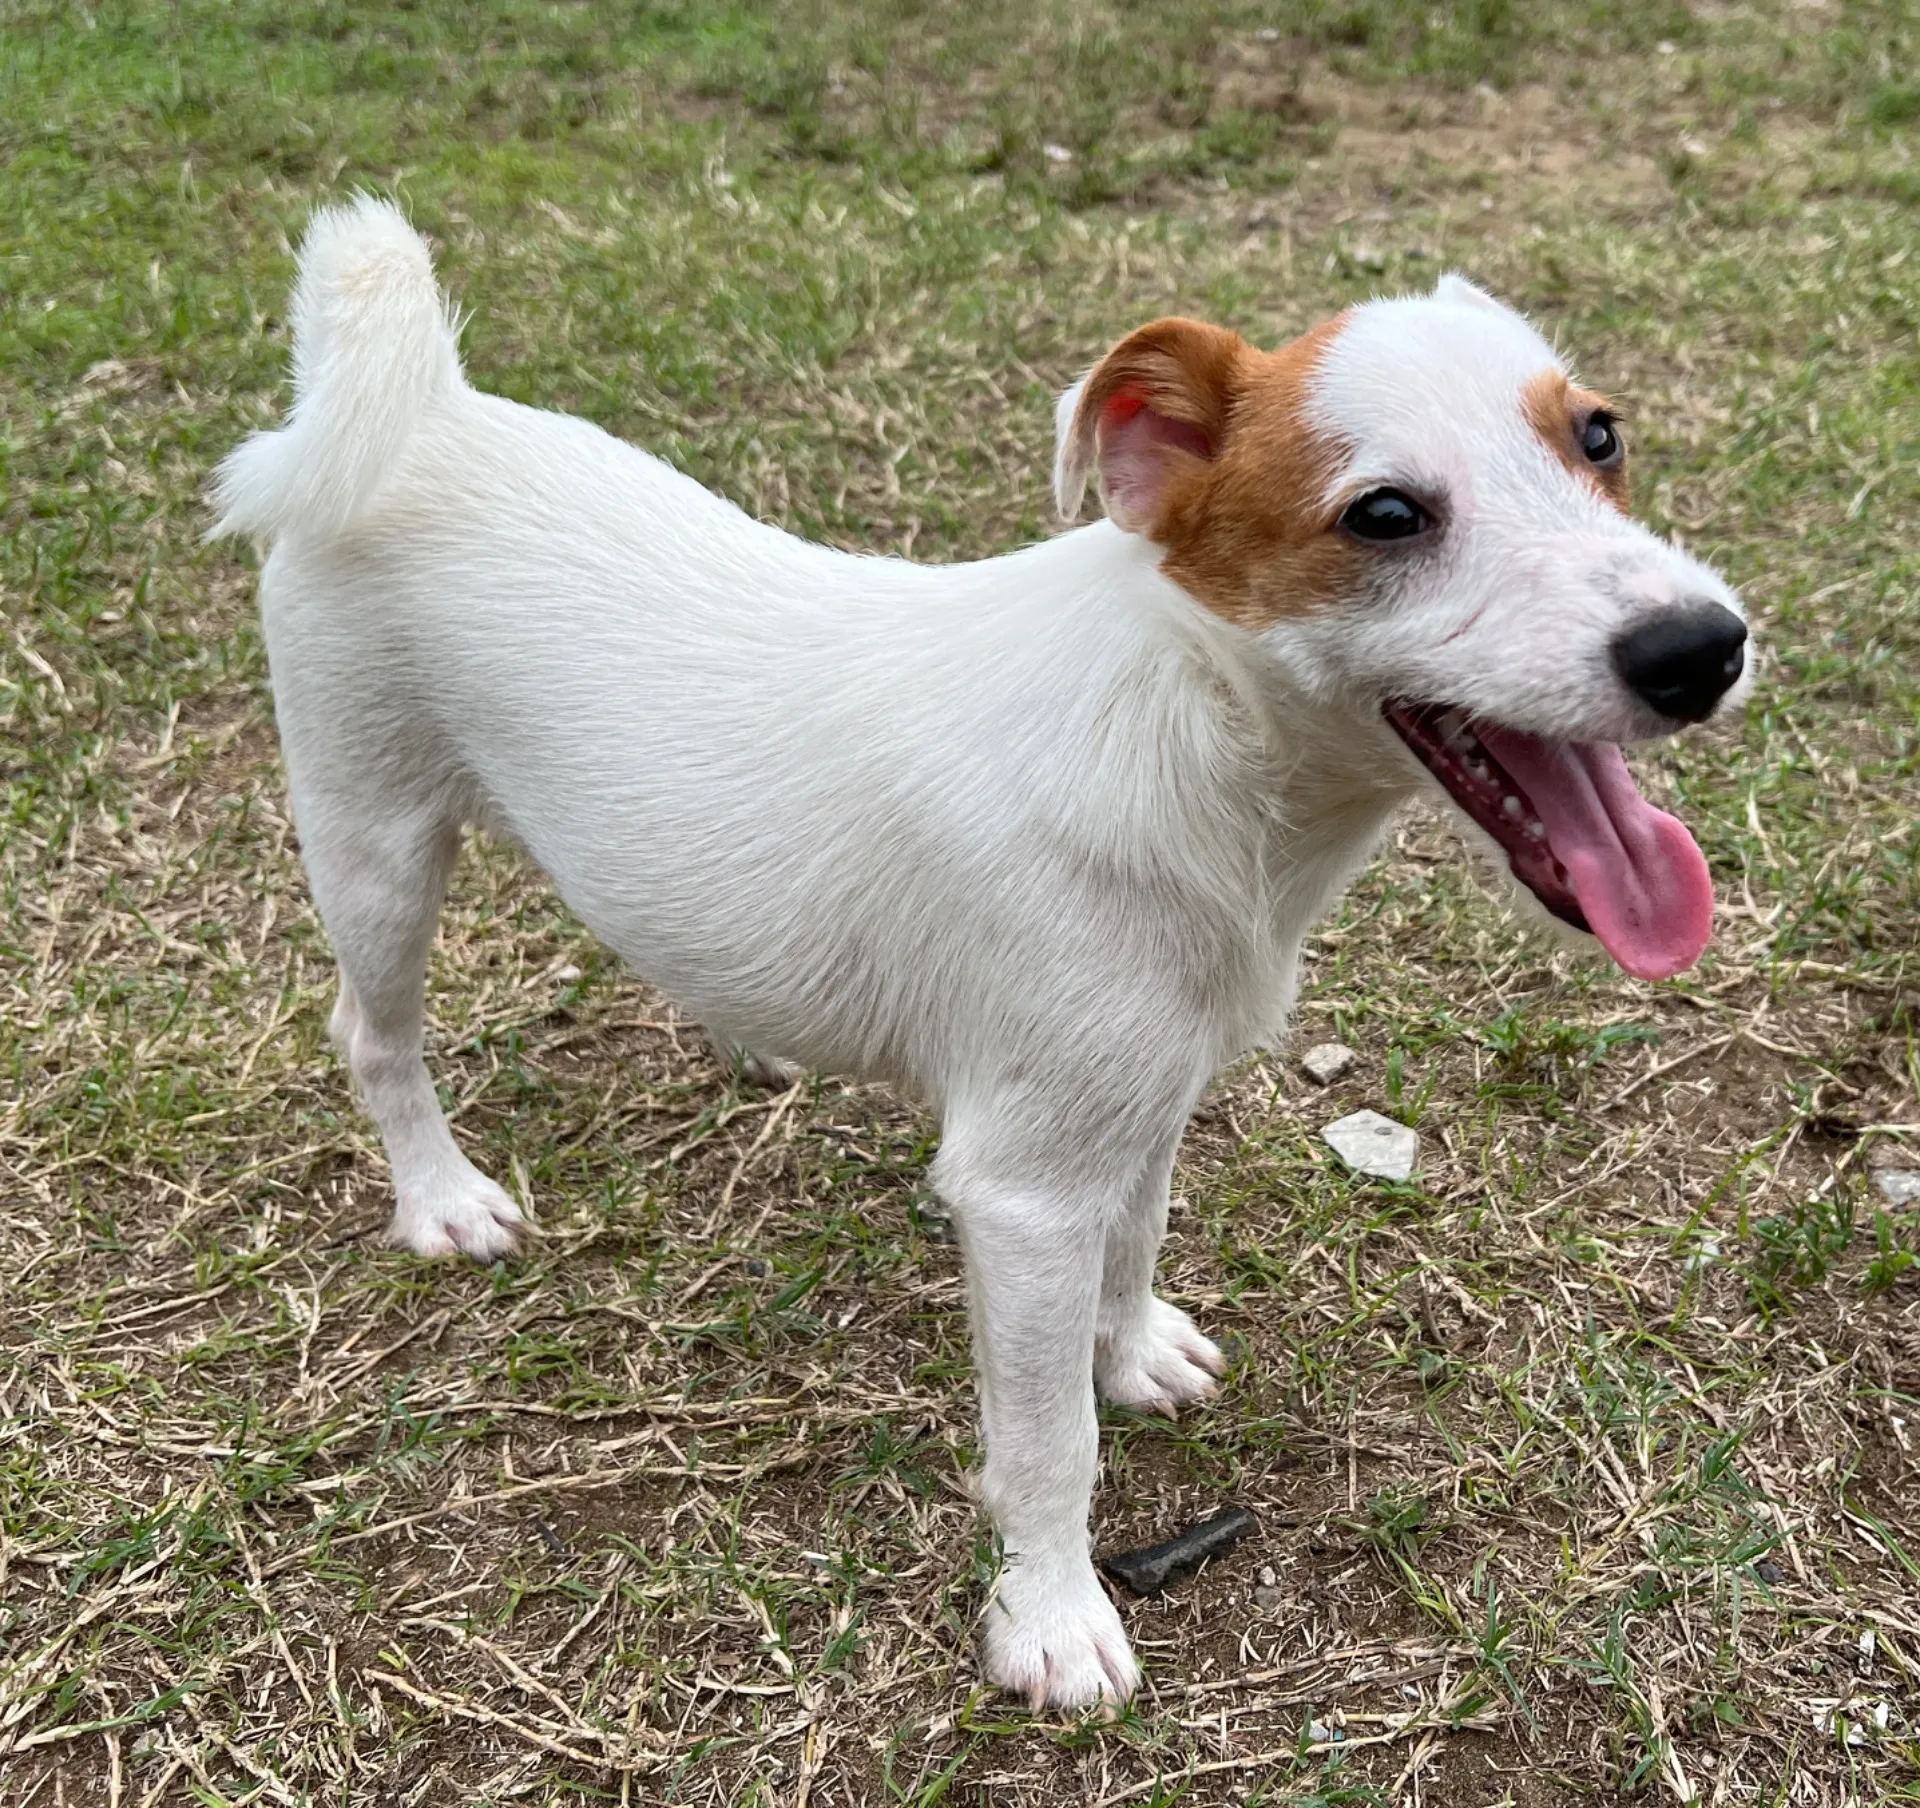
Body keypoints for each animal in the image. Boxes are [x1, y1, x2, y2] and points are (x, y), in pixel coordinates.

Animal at [214, 197, 1758, 1712]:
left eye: (1600, 437)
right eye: (1384, 514)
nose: (1704, 647)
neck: (1196, 730)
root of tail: (424, 410)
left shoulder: (1138, 1106)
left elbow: (1137, 1247)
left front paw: (1129, 1352)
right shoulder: (1024, 1192)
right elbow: (1047, 1442)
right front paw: (1053, 1616)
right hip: (373, 840)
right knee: (374, 1037)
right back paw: (439, 1197)